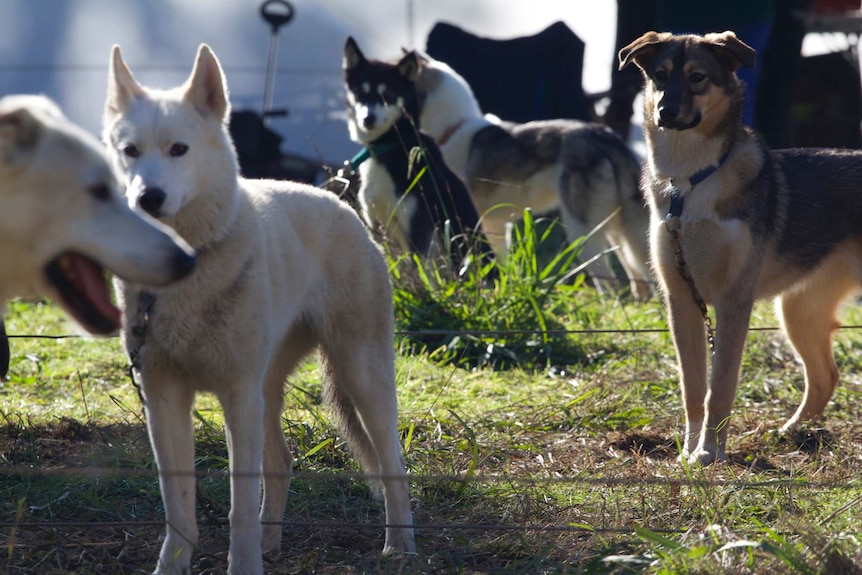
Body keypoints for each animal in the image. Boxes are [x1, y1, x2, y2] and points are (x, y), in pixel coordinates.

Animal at [103, 42, 416, 572]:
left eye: (179, 150)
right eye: (131, 152)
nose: (148, 198)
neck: (184, 268)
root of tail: (341, 203)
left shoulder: (236, 396)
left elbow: (238, 509)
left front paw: (244, 564)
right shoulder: (164, 401)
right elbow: (178, 510)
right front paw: (175, 565)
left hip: (362, 378)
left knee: (393, 464)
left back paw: (401, 548)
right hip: (269, 394)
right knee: (283, 462)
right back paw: (273, 544)